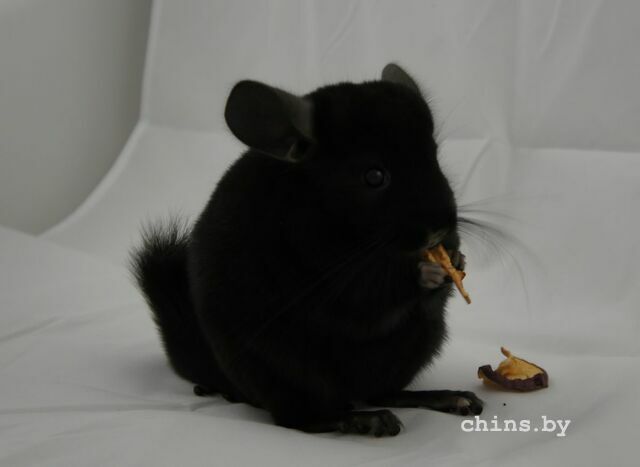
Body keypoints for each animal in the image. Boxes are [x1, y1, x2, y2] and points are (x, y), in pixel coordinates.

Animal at [130, 63, 483, 437]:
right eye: (374, 176)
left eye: (435, 156)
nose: (440, 230)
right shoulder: (320, 272)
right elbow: (368, 300)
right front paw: (427, 273)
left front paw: (455, 260)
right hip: (286, 371)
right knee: (303, 418)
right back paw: (367, 420)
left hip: (421, 341)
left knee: (382, 390)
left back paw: (453, 398)